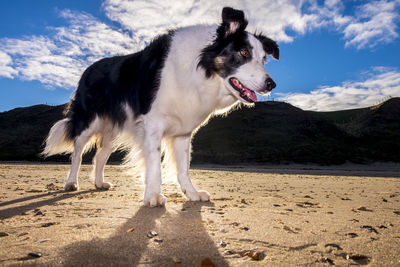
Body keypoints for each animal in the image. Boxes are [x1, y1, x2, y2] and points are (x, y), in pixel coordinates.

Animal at [43, 6, 278, 207]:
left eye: (263, 59)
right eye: (244, 53)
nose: (271, 84)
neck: (199, 70)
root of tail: (88, 69)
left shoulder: (183, 132)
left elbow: (183, 167)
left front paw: (192, 193)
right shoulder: (153, 124)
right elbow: (155, 162)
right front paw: (153, 196)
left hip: (113, 130)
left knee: (100, 155)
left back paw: (99, 183)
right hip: (88, 122)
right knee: (78, 154)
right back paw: (71, 183)